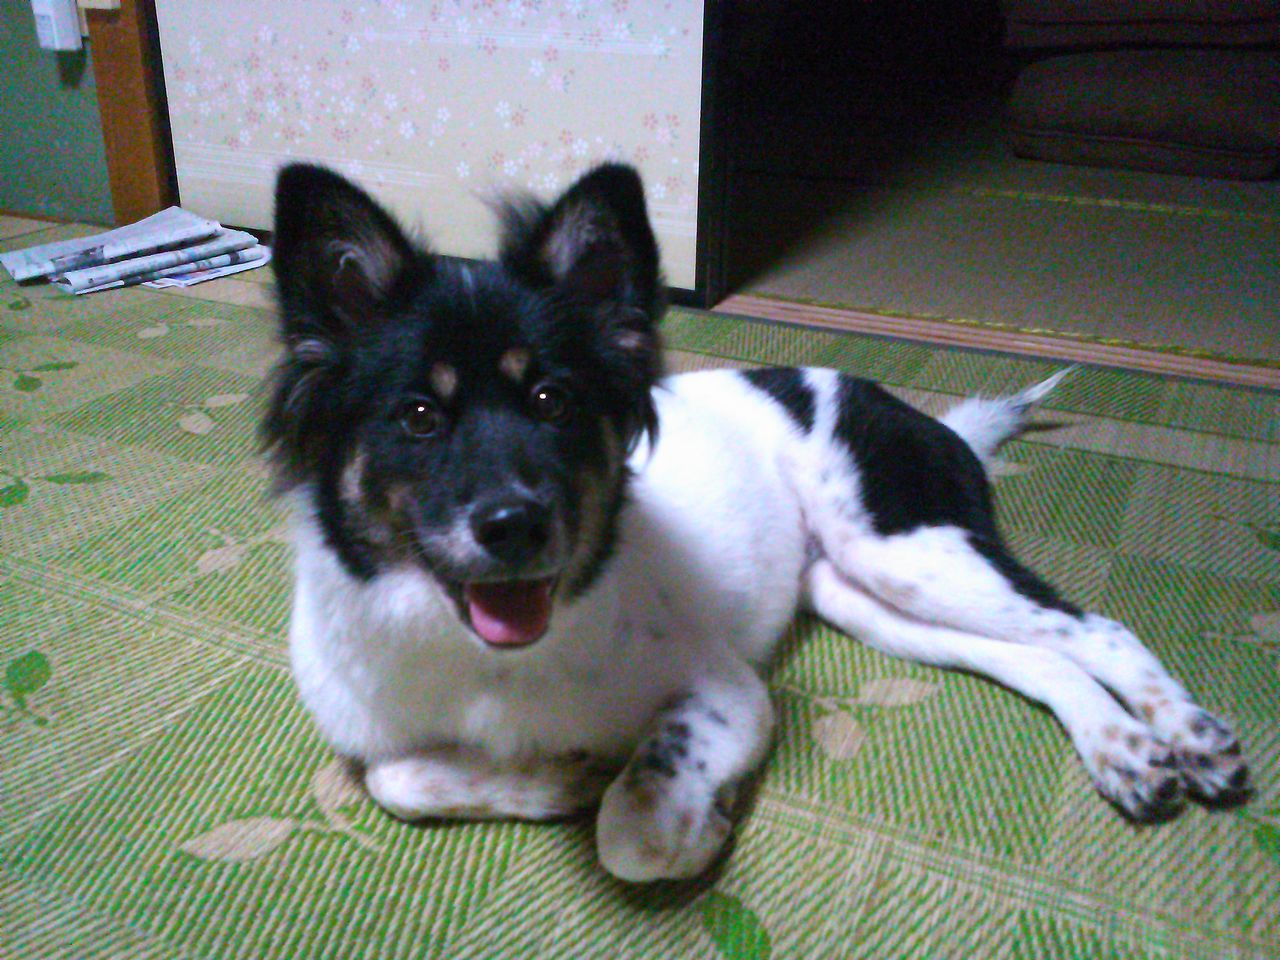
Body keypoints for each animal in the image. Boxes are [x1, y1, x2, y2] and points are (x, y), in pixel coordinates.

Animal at [263, 161, 1249, 882]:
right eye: (418, 417)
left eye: (553, 400)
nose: (515, 525)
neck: (486, 660)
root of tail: (925, 416)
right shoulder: (372, 731)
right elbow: (397, 780)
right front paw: (563, 775)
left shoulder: (729, 690)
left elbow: (633, 828)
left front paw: (693, 825)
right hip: (864, 599)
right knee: (1037, 655)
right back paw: (1127, 752)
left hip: (905, 549)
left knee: (1094, 626)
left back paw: (1192, 738)